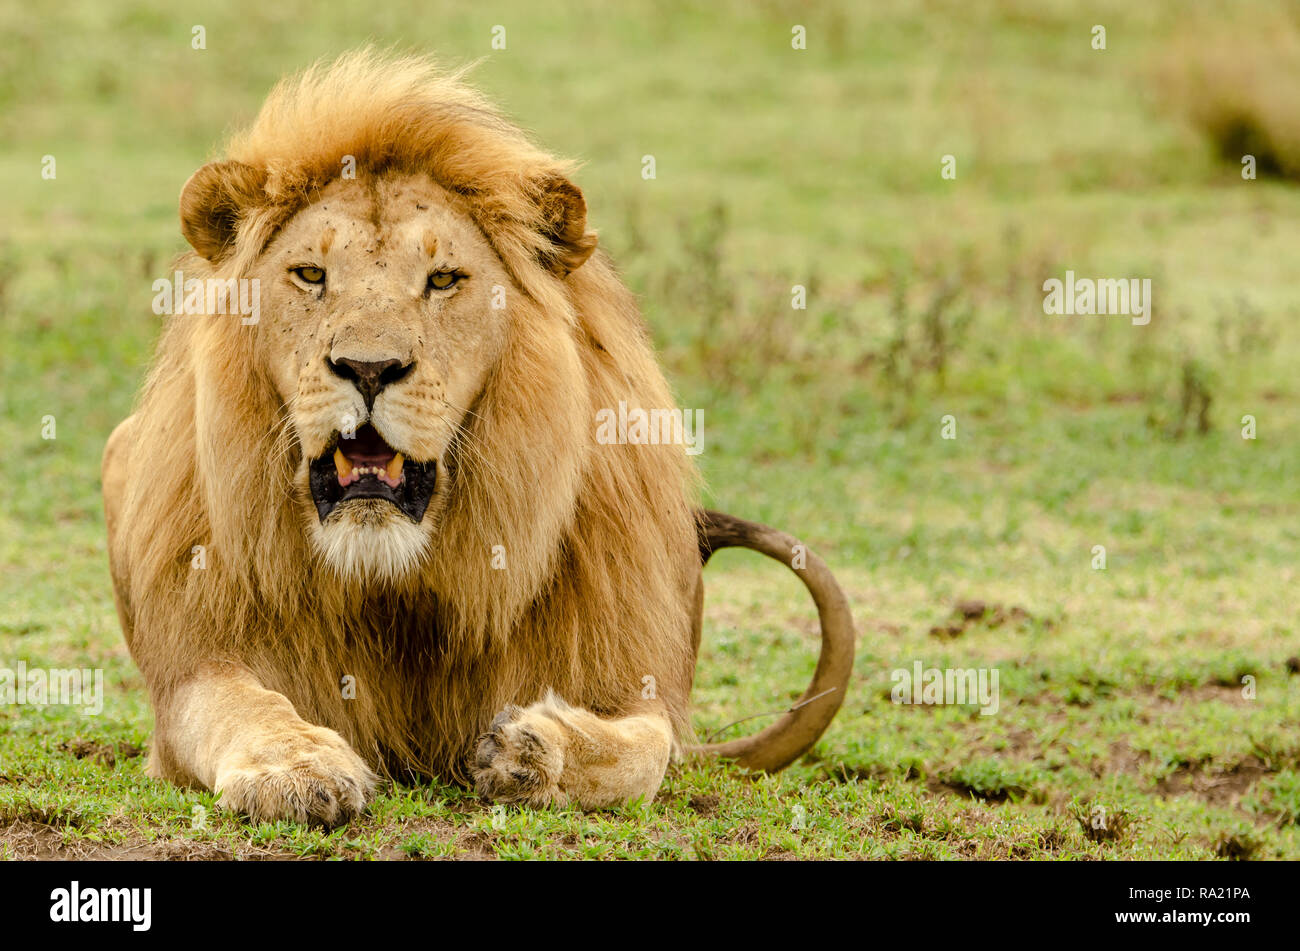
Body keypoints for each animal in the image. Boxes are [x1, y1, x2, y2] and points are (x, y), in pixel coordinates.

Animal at [101, 50, 855, 824]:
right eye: (310, 274)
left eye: (443, 279)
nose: (368, 368)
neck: (391, 581)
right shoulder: (196, 666)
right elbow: (242, 708)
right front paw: (297, 767)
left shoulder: (632, 672)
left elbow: (644, 751)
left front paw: (534, 751)